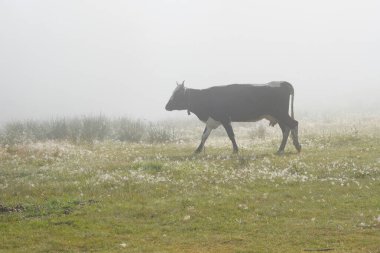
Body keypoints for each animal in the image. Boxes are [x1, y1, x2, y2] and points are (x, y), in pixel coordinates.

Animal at [165, 80, 302, 154]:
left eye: (176, 95)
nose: (166, 106)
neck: (205, 97)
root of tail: (282, 83)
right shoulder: (211, 120)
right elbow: (204, 136)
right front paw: (197, 150)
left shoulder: (225, 118)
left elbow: (231, 135)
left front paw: (236, 150)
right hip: (278, 116)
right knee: (286, 129)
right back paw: (282, 149)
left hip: (281, 113)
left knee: (294, 124)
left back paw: (296, 146)